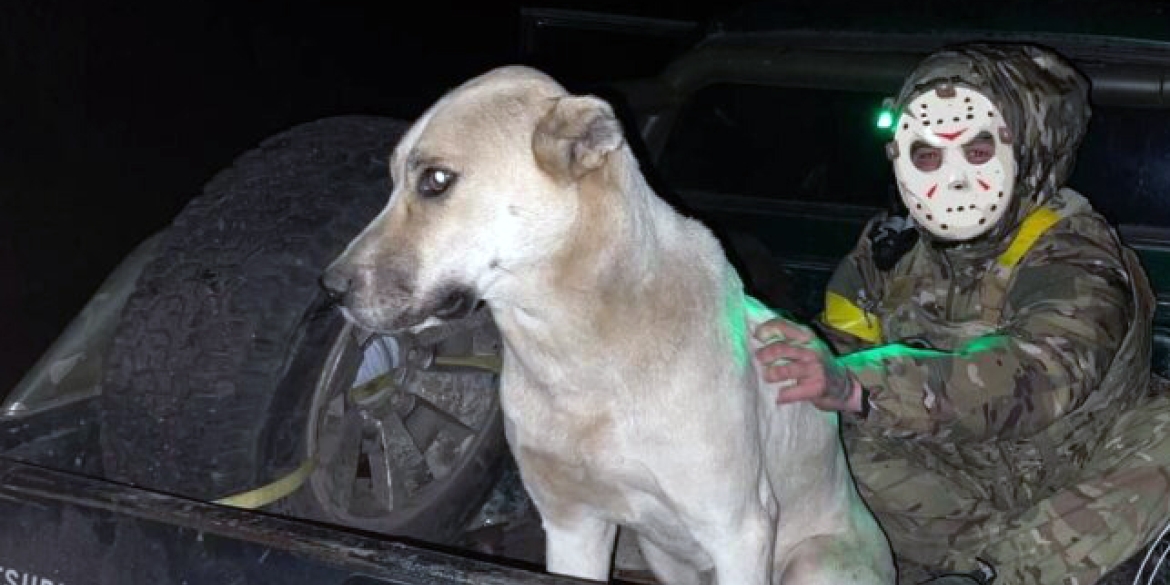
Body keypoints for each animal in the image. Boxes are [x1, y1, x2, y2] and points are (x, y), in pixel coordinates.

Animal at [325, 66, 889, 582]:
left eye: (436, 180)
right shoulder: (572, 526)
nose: (328, 288)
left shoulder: (738, 530)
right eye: (393, 180)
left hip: (813, 562)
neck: (579, 357)